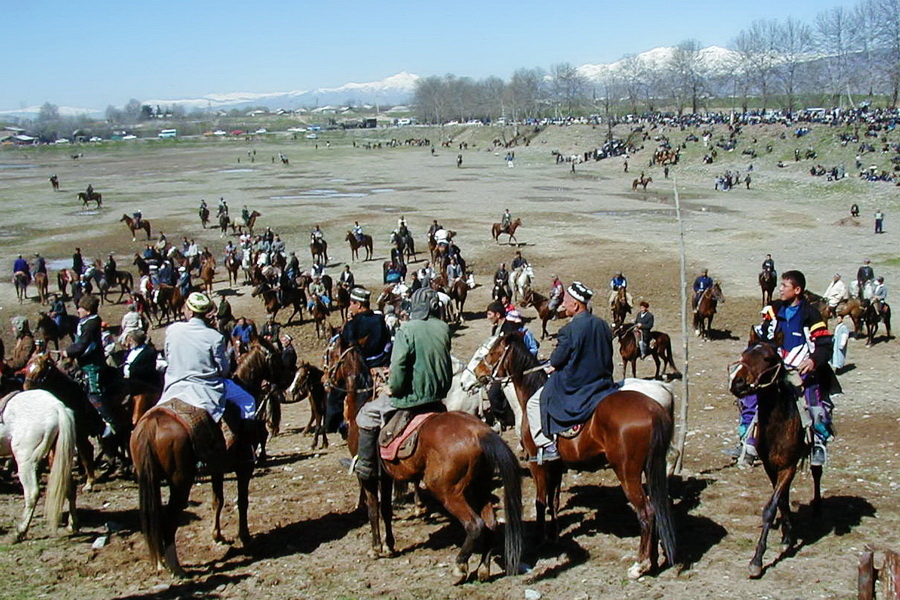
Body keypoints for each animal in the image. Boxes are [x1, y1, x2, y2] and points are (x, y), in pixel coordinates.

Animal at [128, 340, 284, 576]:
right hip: (180, 482)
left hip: (150, 480)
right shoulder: (244, 467)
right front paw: (244, 536)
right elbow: (242, 501)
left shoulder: (217, 468)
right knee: (169, 519)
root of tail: (151, 424)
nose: (286, 380)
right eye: (275, 356)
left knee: (154, 517)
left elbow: (217, 501)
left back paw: (162, 561)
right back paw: (175, 567)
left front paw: (217, 535)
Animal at [328, 340, 528, 584]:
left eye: (331, 354)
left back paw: (460, 567)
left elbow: (373, 510)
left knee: (475, 525)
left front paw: (376, 548)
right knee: (490, 523)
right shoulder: (386, 476)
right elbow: (386, 509)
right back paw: (483, 569)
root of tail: (480, 432)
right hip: (479, 486)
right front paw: (390, 546)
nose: (325, 379)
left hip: (448, 491)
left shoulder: (369, 477)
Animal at [478, 332, 676, 580]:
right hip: (649, 469)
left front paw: (539, 538)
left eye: (492, 352)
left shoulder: (537, 463)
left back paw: (639, 565)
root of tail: (654, 408)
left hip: (627, 473)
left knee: (647, 512)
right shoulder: (556, 464)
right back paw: (654, 560)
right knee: (657, 507)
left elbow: (540, 501)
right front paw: (553, 535)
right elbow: (553, 501)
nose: (479, 373)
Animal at [732, 336, 824, 580]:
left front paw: (756, 561)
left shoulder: (788, 466)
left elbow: (770, 508)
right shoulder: (771, 467)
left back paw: (818, 506)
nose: (737, 383)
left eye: (766, 358)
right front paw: (787, 536)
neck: (778, 423)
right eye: (743, 355)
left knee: (817, 473)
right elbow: (781, 499)